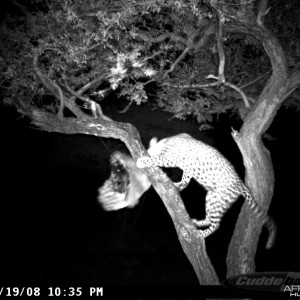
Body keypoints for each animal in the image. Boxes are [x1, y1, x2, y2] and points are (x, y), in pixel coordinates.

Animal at [137, 133, 276, 248]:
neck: (165, 142)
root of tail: (241, 184)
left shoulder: (170, 157)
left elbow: (156, 159)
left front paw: (142, 161)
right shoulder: (187, 167)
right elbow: (186, 180)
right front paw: (179, 185)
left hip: (218, 201)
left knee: (216, 224)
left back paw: (201, 234)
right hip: (212, 198)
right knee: (211, 219)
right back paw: (197, 223)